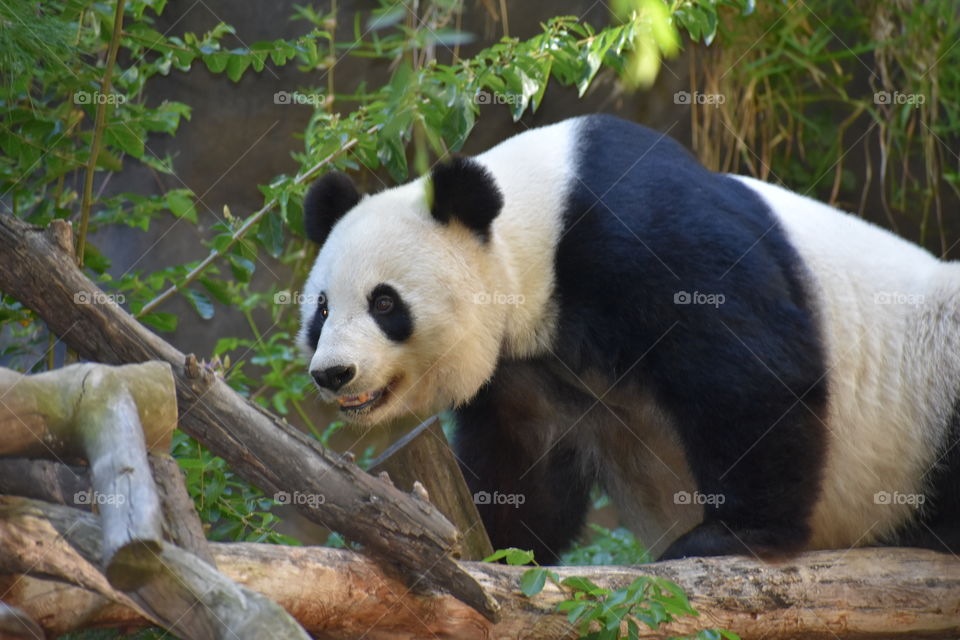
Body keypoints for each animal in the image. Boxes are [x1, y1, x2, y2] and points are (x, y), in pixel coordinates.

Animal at [298, 114, 960, 562]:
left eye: (385, 303)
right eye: (322, 310)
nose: (333, 373)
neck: (538, 222)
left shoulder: (646, 234)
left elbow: (751, 374)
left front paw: (731, 536)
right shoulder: (528, 366)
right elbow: (525, 468)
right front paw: (486, 543)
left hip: (930, 369)